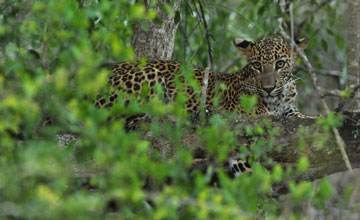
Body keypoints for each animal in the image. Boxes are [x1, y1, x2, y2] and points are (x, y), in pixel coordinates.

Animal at [95, 36, 310, 177]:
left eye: (280, 64)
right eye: (257, 65)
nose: (268, 88)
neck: (277, 100)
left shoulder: (288, 109)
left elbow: (300, 117)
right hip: (150, 75)